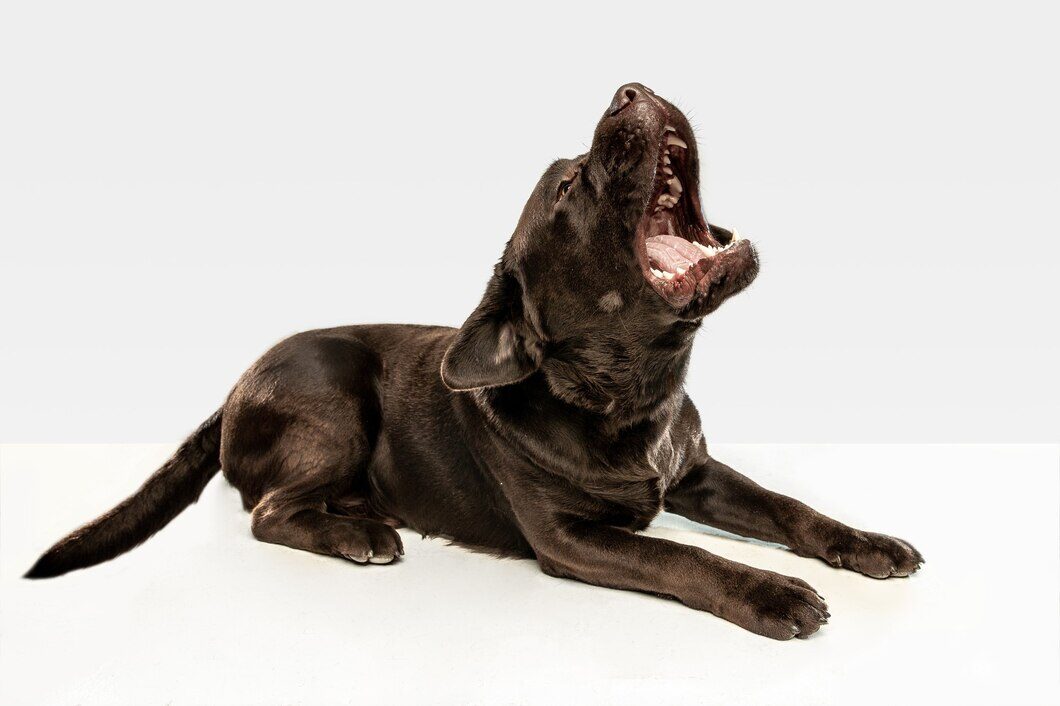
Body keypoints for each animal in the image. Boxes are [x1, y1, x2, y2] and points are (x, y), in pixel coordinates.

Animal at [22, 82, 920, 636]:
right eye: (567, 189)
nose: (630, 88)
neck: (636, 394)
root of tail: (234, 385)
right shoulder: (571, 539)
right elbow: (681, 553)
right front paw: (767, 591)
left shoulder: (697, 472)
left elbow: (791, 508)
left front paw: (866, 542)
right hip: (335, 397)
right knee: (267, 511)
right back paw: (359, 534)